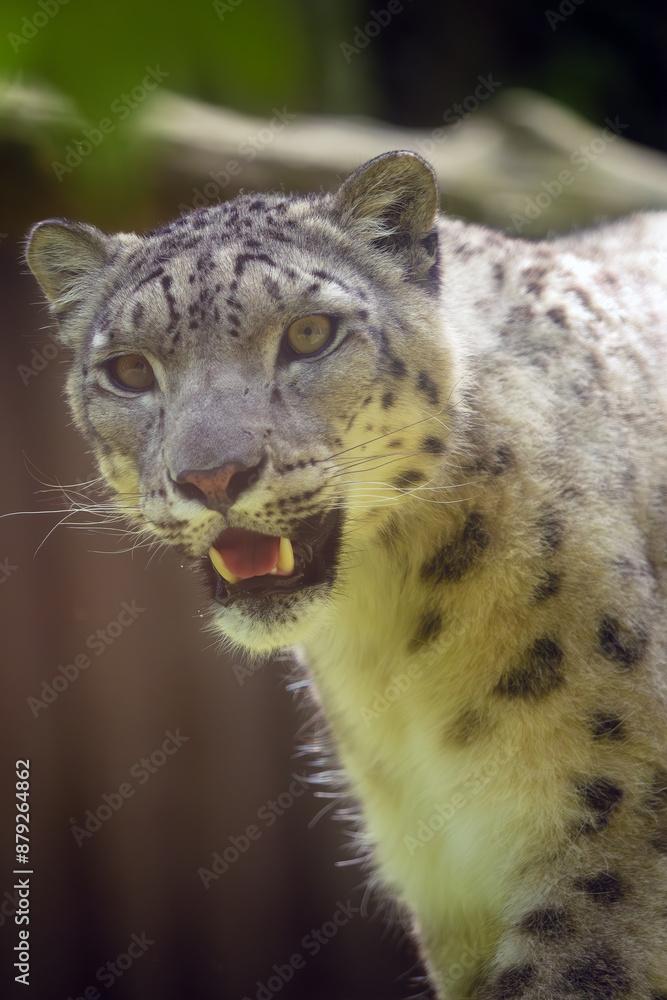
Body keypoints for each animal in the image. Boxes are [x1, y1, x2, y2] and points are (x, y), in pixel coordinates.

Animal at [26, 150, 667, 999]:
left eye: (308, 333)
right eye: (129, 370)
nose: (212, 476)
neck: (391, 635)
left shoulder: (606, 826)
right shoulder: (443, 877)